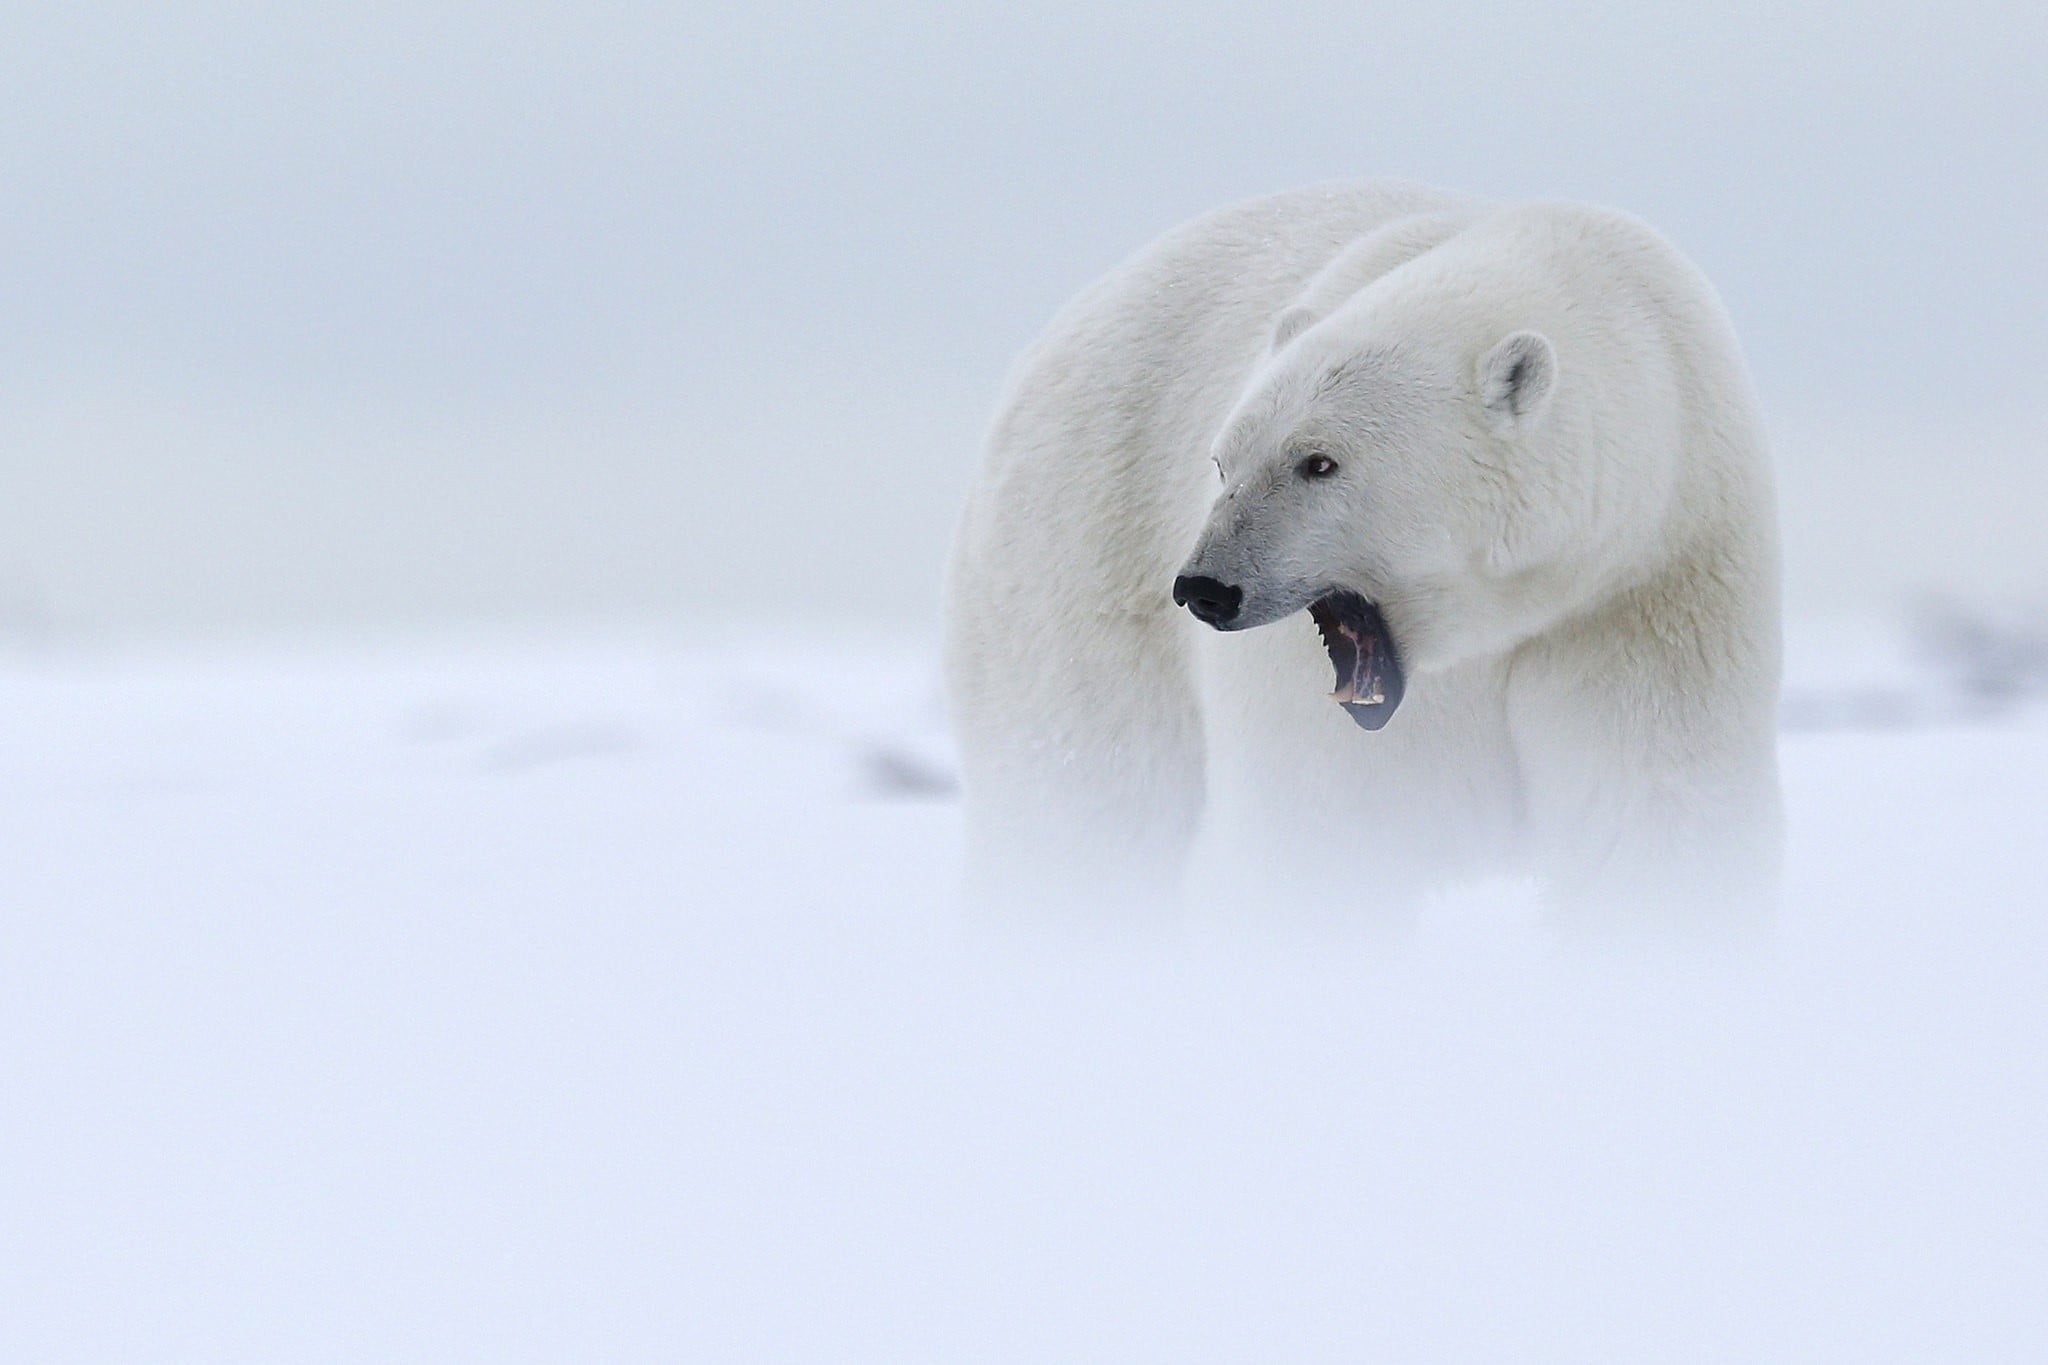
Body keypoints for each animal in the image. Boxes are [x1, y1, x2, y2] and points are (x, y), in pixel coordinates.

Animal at [944, 182, 1782, 932]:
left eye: (1319, 462)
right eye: (1222, 462)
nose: (1205, 587)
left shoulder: (1651, 588)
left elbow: (1650, 813)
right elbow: (1325, 834)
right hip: (1074, 559)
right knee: (1086, 801)